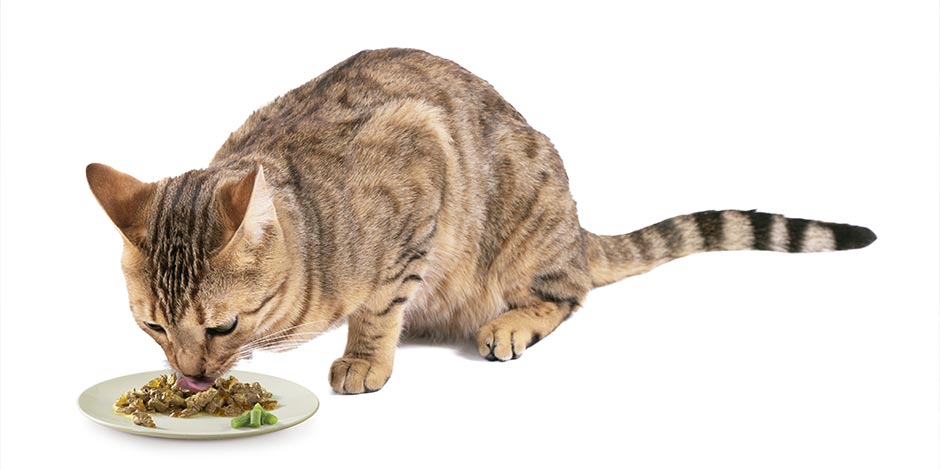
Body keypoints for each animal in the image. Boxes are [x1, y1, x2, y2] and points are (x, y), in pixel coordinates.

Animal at [84, 48, 876, 392]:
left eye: (222, 327)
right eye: (153, 326)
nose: (189, 379)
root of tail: (576, 224)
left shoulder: (419, 156)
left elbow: (378, 304)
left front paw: (366, 357)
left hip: (526, 221)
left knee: (568, 293)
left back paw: (509, 323)